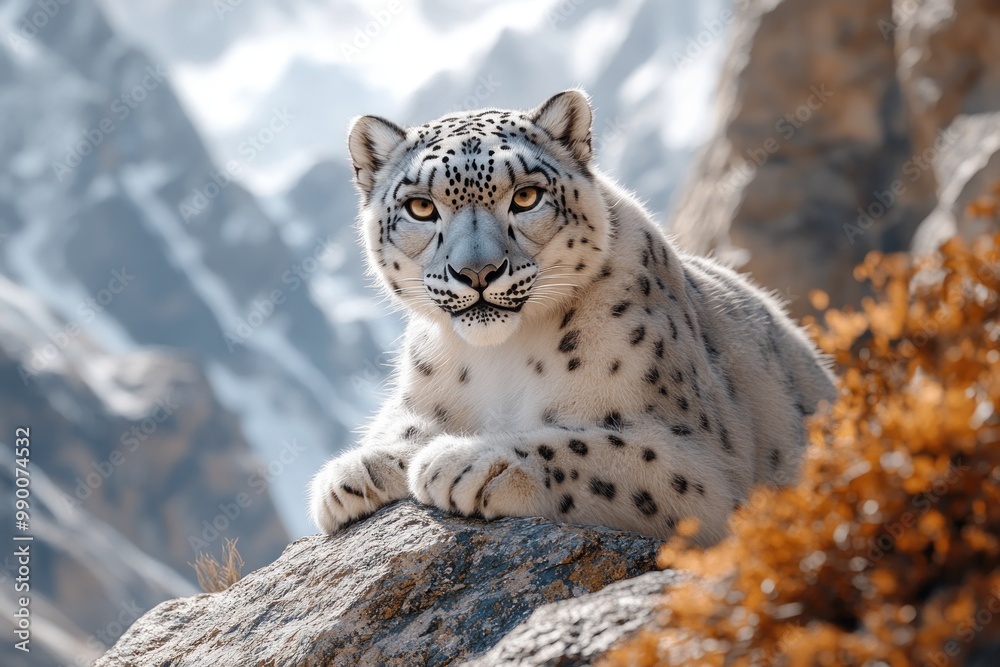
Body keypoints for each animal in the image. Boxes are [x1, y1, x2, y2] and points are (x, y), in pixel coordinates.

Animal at [307, 89, 837, 545]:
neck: (498, 359)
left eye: (525, 197)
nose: (477, 272)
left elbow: (595, 447)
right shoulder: (422, 397)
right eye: (420, 206)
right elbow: (408, 425)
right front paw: (355, 471)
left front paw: (471, 463)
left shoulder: (696, 463)